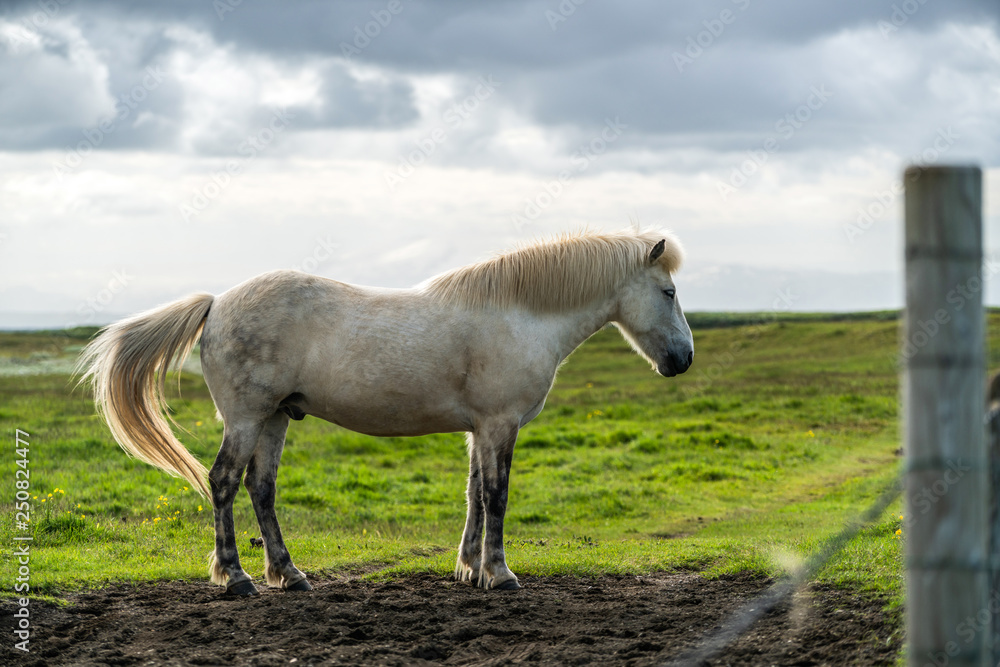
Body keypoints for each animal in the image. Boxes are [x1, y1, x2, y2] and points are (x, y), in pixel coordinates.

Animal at [78, 228, 692, 596]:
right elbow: (497, 496)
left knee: (261, 488)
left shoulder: (479, 429)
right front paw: (499, 573)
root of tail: (217, 303)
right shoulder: (499, 425)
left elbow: (473, 493)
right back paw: (235, 577)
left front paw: (469, 568)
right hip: (247, 418)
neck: (519, 314)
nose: (682, 359)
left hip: (274, 418)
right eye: (667, 292)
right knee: (224, 482)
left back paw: (288, 573)